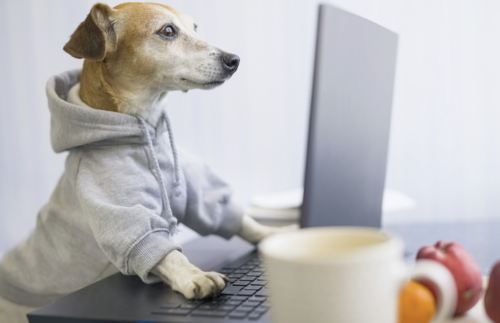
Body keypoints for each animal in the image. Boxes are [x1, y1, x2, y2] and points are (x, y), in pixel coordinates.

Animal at [0, 3, 296, 323]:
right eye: (167, 31)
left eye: (195, 28)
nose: (234, 59)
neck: (147, 126)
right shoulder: (121, 213)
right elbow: (162, 250)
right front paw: (194, 275)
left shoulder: (197, 193)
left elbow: (239, 219)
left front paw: (274, 234)